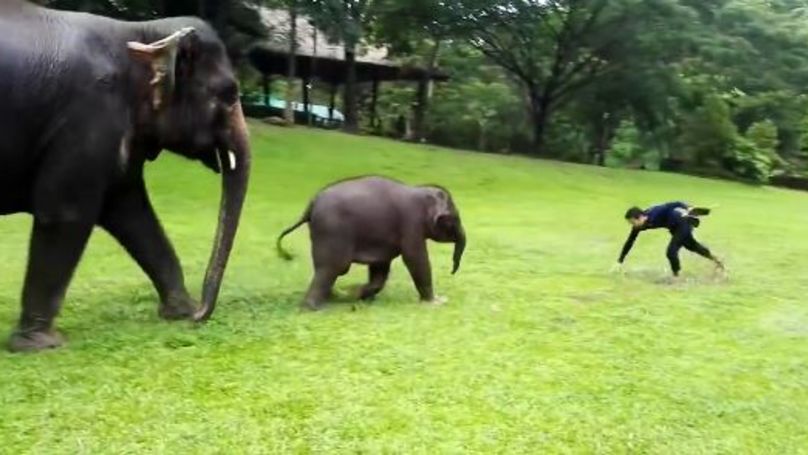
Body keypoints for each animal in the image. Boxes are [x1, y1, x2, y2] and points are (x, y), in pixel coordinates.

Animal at [0, 0, 252, 352]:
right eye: (228, 93)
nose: (200, 314)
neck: (136, 31)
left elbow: (132, 212)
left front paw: (179, 311)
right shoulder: (88, 118)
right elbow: (66, 213)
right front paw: (40, 344)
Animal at [278, 175, 468, 310]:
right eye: (455, 219)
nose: (453, 270)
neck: (419, 190)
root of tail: (311, 204)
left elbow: (380, 267)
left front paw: (357, 293)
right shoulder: (411, 223)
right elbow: (415, 258)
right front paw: (436, 302)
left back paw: (333, 297)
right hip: (332, 231)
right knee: (331, 269)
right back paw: (312, 308)